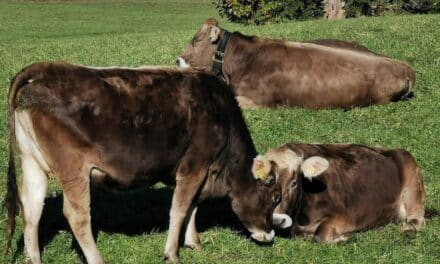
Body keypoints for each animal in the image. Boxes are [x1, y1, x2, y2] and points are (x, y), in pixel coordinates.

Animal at [5, 60, 292, 262]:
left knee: (31, 208)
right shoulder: (195, 165)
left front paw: (194, 242)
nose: (269, 234)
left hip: (32, 163)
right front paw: (172, 253)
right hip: (73, 170)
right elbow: (180, 208)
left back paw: (34, 259)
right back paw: (97, 259)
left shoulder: (199, 170)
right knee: (77, 215)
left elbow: (193, 205)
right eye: (274, 197)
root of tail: (44, 70)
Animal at [253, 143, 424, 242]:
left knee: (417, 220)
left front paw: (343, 238)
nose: (277, 219)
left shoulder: (346, 217)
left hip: (413, 183)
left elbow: (320, 236)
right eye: (265, 183)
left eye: (293, 183)